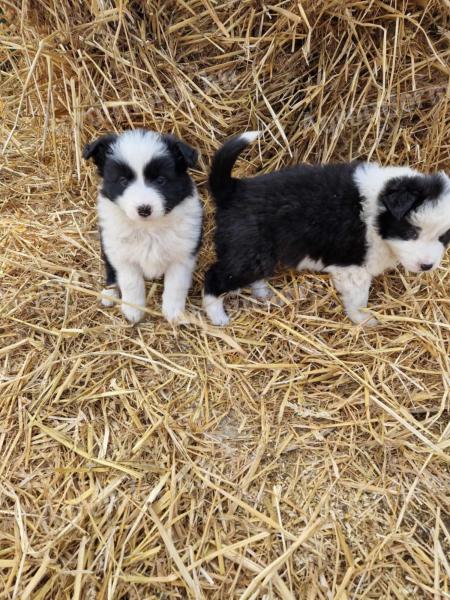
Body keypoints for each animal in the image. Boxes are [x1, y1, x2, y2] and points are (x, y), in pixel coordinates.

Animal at [83, 127, 202, 324]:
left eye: (161, 180)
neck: (148, 228)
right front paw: (133, 311)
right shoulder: (121, 255)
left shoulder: (183, 255)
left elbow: (176, 285)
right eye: (123, 181)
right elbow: (131, 283)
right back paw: (109, 293)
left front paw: (173, 312)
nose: (144, 209)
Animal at [205, 133, 450, 326]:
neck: (378, 209)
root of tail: (234, 189)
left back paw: (263, 293)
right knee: (214, 277)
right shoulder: (353, 269)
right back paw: (218, 317)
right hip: (249, 252)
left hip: (256, 254)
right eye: (411, 232)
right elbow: (358, 299)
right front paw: (365, 321)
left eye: (443, 237)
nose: (427, 266)